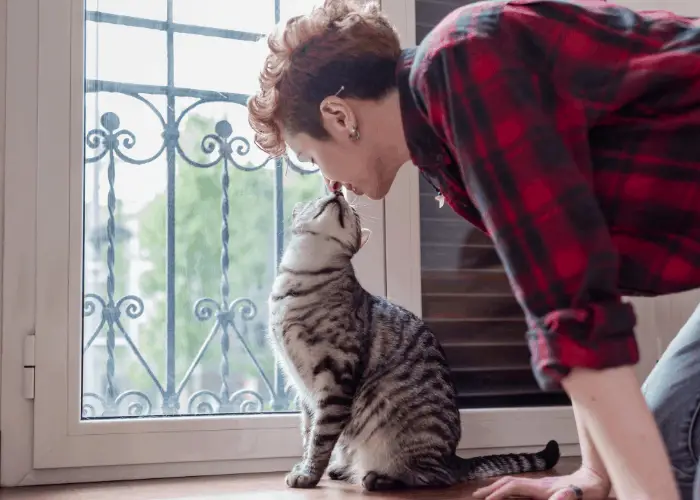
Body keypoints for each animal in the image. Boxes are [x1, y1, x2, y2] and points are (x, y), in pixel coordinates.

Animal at [268, 191, 556, 492]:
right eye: (321, 196)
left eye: (354, 212)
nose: (336, 192)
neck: (299, 279)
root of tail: (454, 459)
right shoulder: (303, 388)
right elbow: (308, 432)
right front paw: (304, 465)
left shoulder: (336, 375)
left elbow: (321, 438)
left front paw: (308, 474)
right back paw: (344, 469)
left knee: (433, 477)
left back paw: (379, 478)